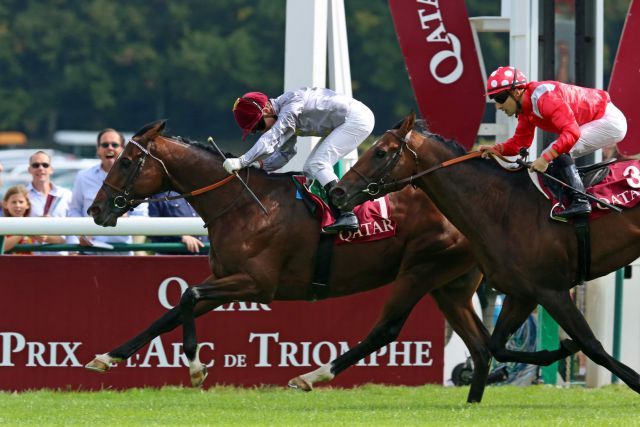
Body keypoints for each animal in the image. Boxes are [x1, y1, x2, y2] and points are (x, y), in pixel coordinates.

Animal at [82, 120, 488, 404]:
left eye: (127, 161)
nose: (95, 209)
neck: (241, 204)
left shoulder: (257, 283)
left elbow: (187, 295)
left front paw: (197, 370)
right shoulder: (227, 280)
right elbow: (170, 314)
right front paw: (106, 357)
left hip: (421, 269)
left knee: (385, 330)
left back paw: (311, 376)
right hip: (450, 285)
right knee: (482, 345)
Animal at [330, 112, 640, 396]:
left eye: (380, 152)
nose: (338, 191)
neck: (502, 206)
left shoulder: (552, 290)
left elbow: (592, 346)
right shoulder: (524, 293)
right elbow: (497, 346)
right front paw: (557, 350)